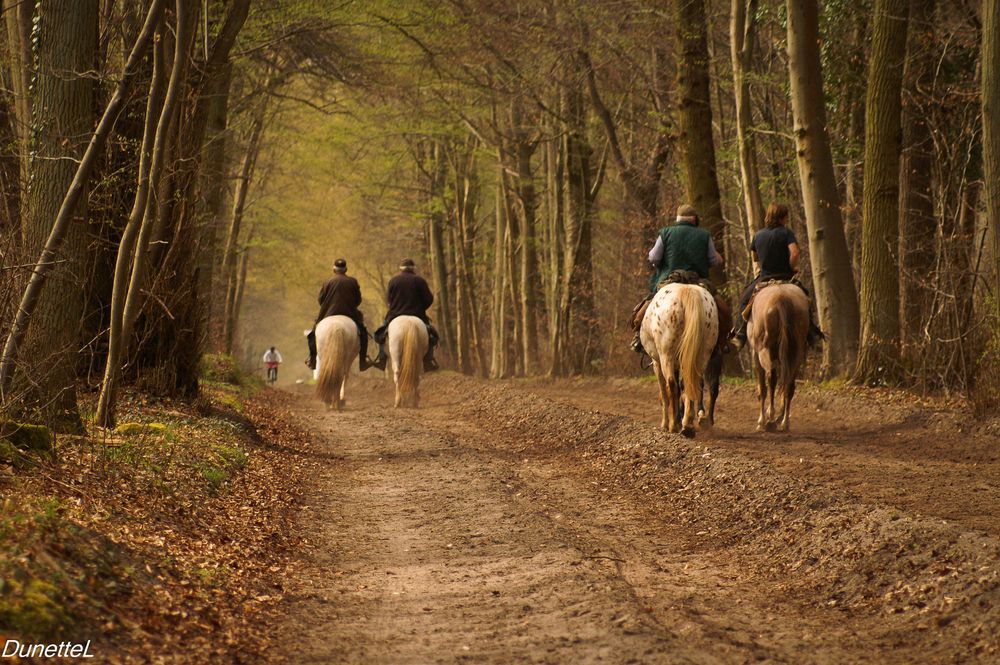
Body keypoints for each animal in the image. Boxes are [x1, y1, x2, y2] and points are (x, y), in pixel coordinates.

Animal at [640, 284, 720, 436]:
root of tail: (687, 291)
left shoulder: (656, 363)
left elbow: (665, 392)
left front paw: (666, 423)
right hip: (703, 355)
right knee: (693, 383)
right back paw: (687, 425)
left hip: (666, 355)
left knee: (671, 385)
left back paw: (673, 425)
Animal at [748, 284, 808, 430]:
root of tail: (781, 298)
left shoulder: (755, 355)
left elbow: (762, 388)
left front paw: (761, 421)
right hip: (796, 354)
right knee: (789, 385)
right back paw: (784, 422)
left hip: (765, 352)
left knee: (771, 377)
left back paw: (769, 417)